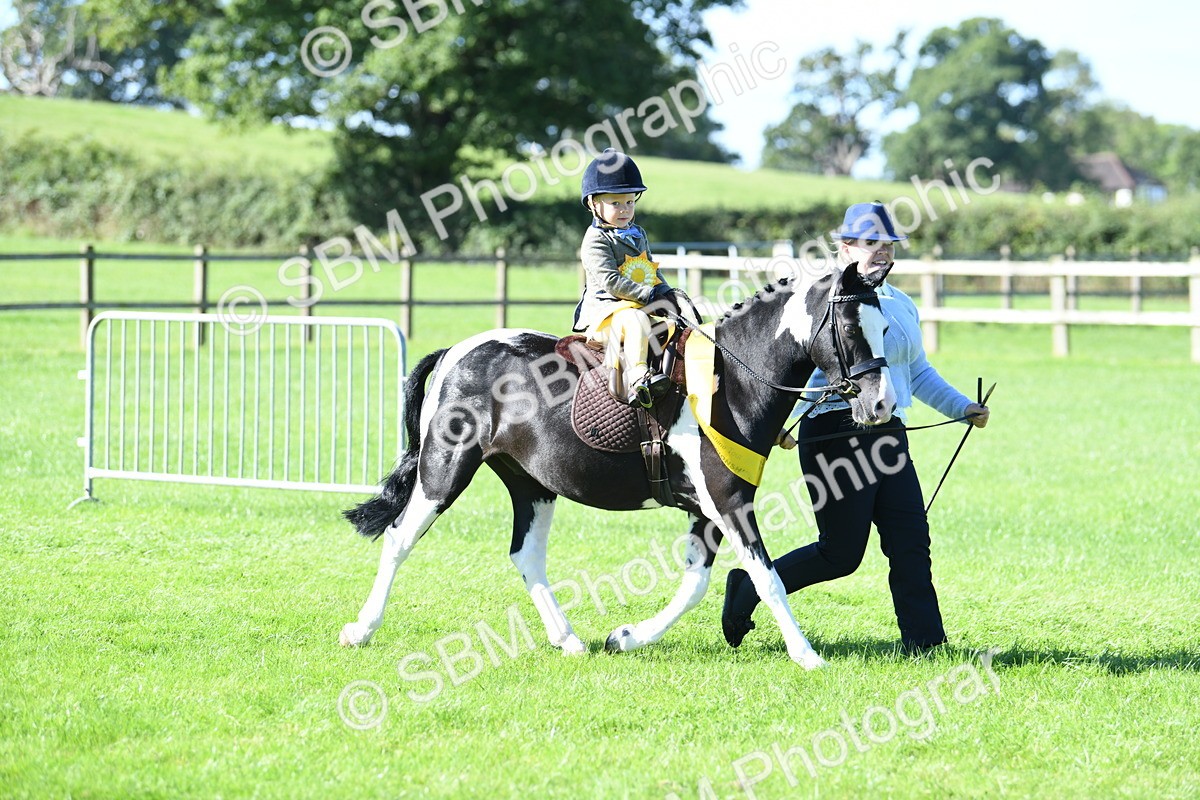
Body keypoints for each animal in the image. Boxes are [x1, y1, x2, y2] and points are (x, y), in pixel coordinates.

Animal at [339, 263, 896, 669]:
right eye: (851, 328)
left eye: (887, 327)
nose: (881, 405)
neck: (731, 381)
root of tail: (458, 350)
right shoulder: (729, 503)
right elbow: (767, 577)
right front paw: (807, 656)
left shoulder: (709, 510)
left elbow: (694, 585)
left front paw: (626, 637)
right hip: (445, 469)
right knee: (399, 538)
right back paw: (361, 629)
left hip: (531, 485)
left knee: (526, 555)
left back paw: (567, 639)